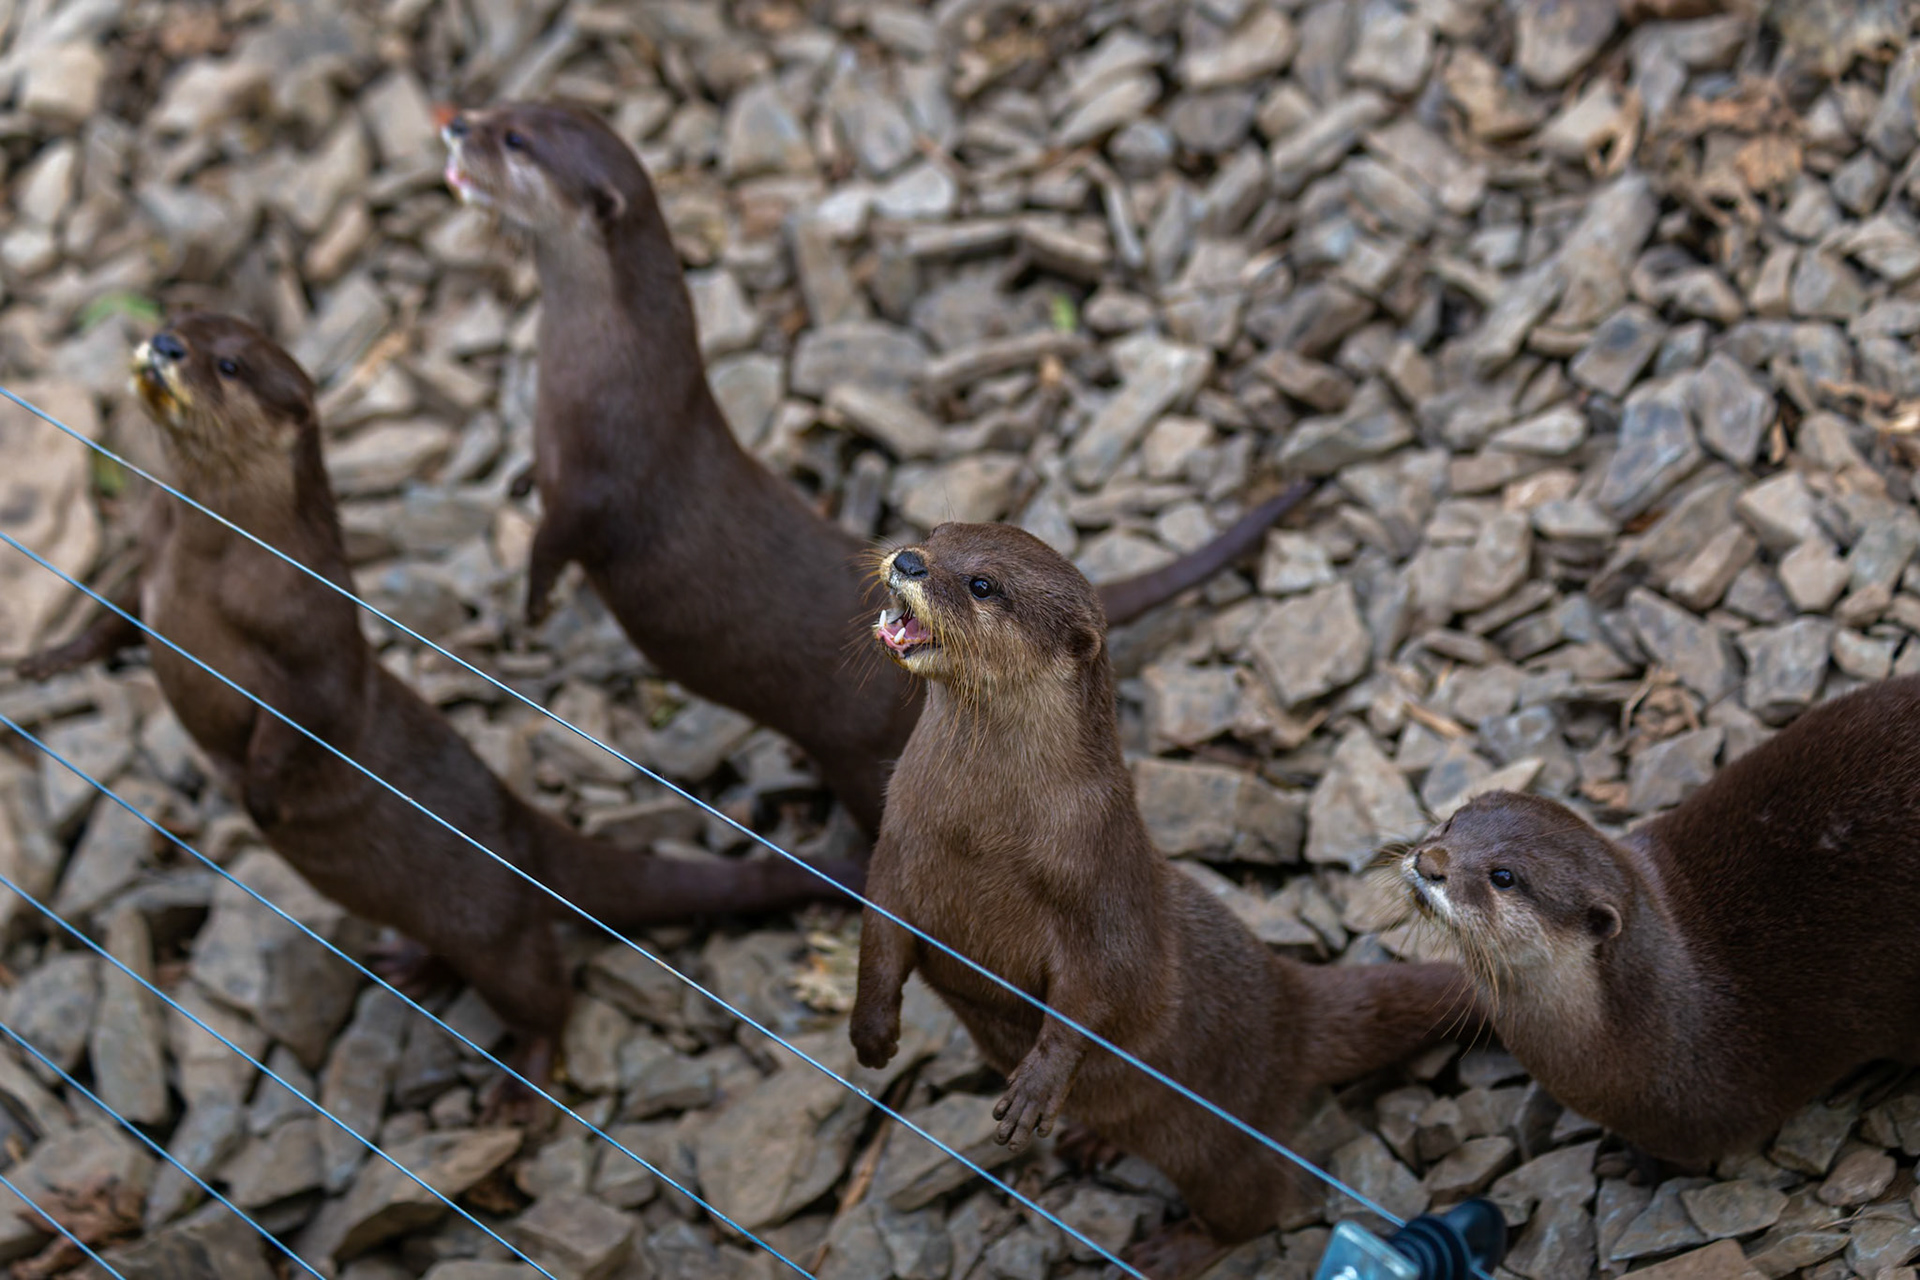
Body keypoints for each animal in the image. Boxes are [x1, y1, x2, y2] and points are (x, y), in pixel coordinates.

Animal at [16, 314, 860, 1098]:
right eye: (176, 320)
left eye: (225, 363)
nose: (163, 346)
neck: (209, 559)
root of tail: (522, 827)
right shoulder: (147, 567)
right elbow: (111, 614)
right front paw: (48, 658)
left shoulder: (306, 627)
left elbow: (308, 713)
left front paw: (258, 796)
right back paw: (410, 964)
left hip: (493, 924)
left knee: (545, 995)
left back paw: (523, 1087)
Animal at [440, 101, 1311, 836]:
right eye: (505, 107)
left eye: (515, 141)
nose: (455, 123)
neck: (597, 369)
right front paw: (515, 485)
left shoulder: (608, 473)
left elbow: (560, 538)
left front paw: (533, 605)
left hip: (854, 747)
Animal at [848, 522, 1480, 1277]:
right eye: (936, 535)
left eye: (982, 585)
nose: (909, 559)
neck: (978, 832)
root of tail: (1290, 1003)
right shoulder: (897, 849)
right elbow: (879, 937)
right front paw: (871, 1031)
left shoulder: (1100, 881)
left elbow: (1099, 990)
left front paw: (1035, 1088)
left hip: (1218, 1140)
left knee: (1255, 1205)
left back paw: (1171, 1250)